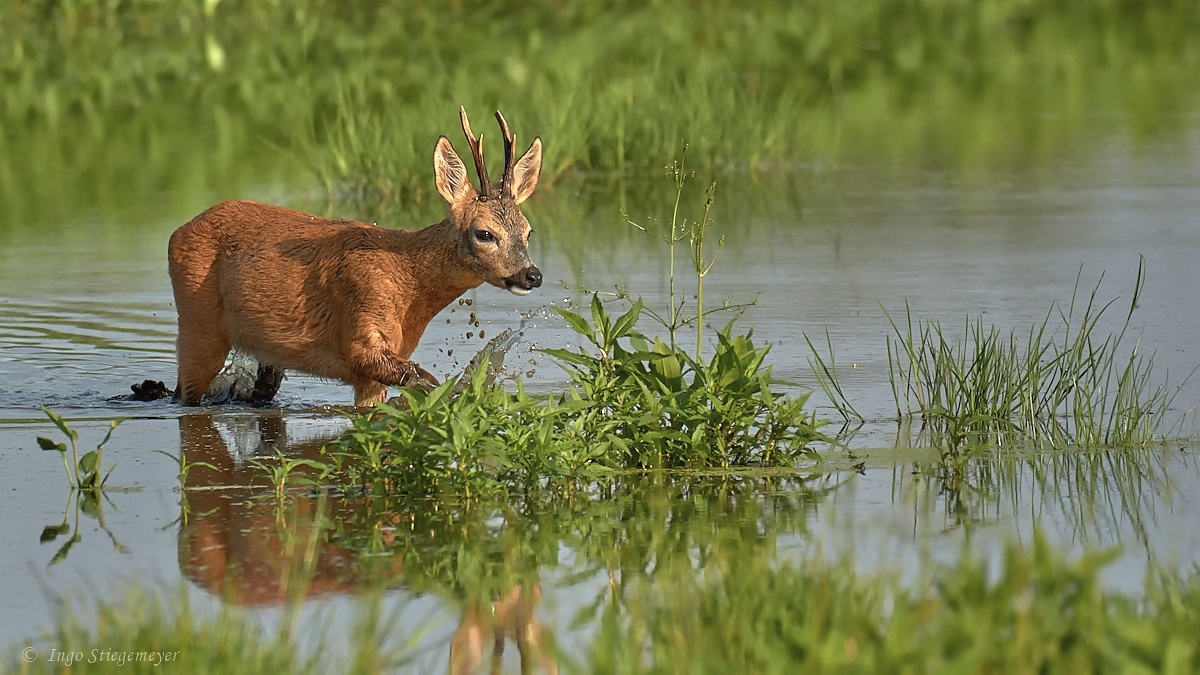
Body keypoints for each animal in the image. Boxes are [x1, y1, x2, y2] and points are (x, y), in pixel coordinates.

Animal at [169, 106, 544, 403]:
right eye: (484, 233)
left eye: (528, 231)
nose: (532, 275)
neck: (407, 279)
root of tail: (178, 231)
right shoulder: (361, 331)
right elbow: (423, 379)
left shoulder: (377, 369)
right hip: (198, 323)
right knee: (184, 393)